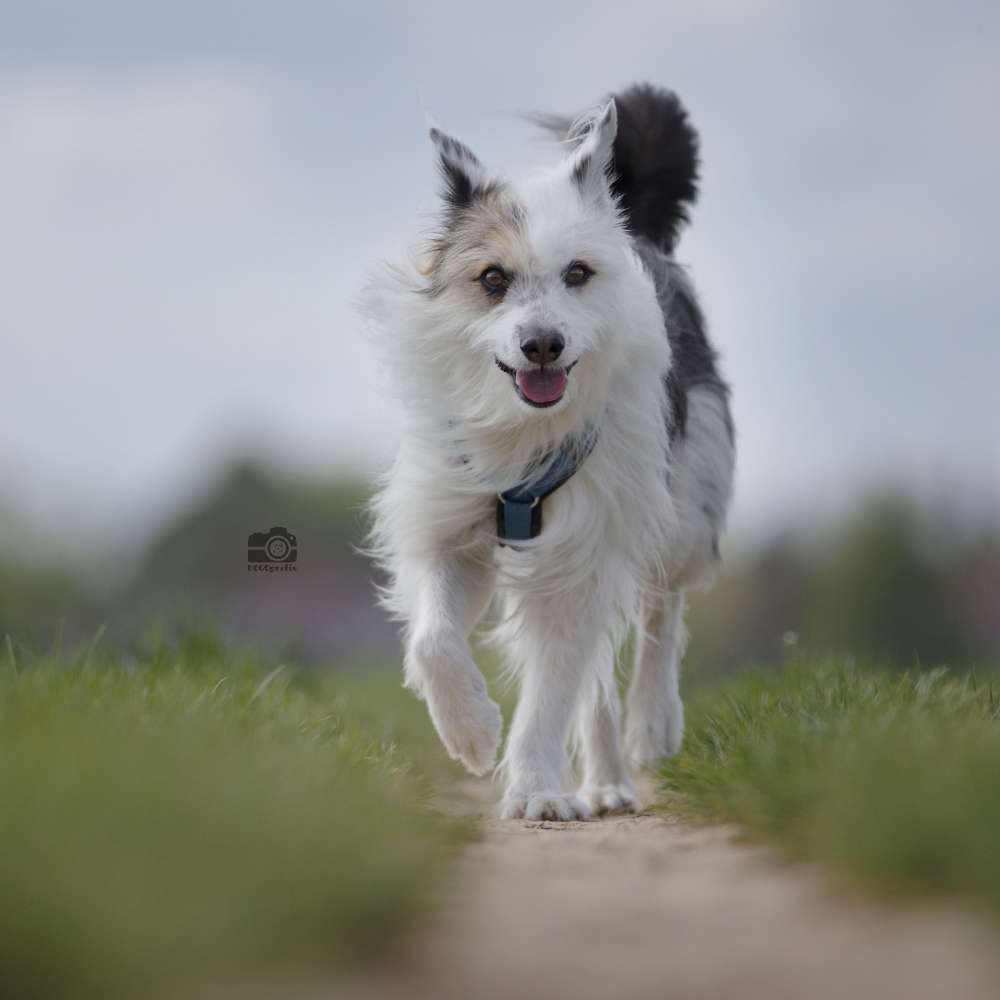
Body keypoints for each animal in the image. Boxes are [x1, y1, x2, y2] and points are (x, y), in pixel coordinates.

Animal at [368, 84, 736, 820]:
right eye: (491, 278)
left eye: (577, 274)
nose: (543, 344)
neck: (524, 433)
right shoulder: (451, 524)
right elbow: (433, 639)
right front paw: (473, 732)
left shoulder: (584, 550)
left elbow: (553, 687)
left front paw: (536, 789)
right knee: (596, 676)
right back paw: (605, 783)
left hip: (683, 494)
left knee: (661, 606)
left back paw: (651, 723)